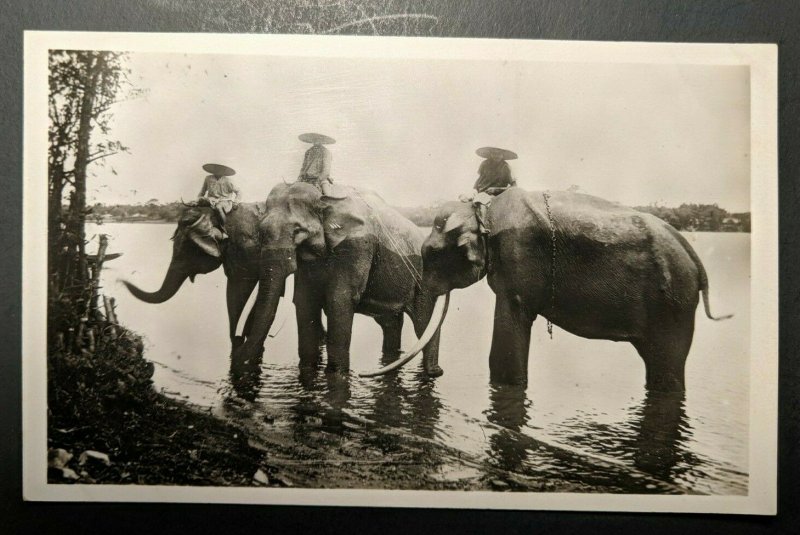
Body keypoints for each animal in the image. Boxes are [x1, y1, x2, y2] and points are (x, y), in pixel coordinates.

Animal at [231, 183, 446, 376]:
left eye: (298, 231)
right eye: (261, 231)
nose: (238, 343)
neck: (325, 198)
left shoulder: (357, 246)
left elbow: (339, 301)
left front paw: (337, 374)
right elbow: (305, 300)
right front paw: (308, 370)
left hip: (427, 281)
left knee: (424, 324)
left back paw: (434, 372)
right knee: (390, 323)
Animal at [362, 188, 732, 394]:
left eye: (432, 254)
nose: (438, 373)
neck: (482, 210)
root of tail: (696, 259)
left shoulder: (517, 260)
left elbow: (509, 330)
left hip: (673, 304)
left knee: (666, 362)